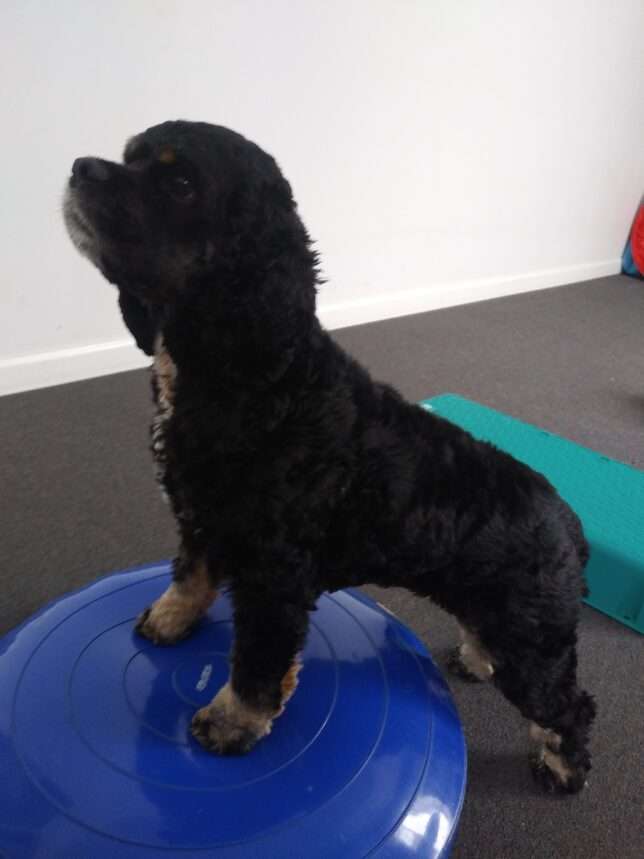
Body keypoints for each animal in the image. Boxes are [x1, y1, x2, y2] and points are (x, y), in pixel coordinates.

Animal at [64, 119, 592, 792]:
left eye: (179, 183)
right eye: (128, 156)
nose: (81, 167)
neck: (254, 376)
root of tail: (568, 525)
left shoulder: (276, 574)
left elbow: (259, 664)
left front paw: (232, 724)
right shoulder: (202, 516)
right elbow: (190, 575)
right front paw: (170, 618)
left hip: (532, 636)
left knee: (569, 704)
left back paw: (561, 764)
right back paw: (477, 659)